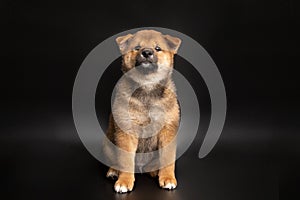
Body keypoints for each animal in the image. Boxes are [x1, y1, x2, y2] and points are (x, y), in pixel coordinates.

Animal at [105, 29, 180, 192]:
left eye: (158, 48)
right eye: (137, 47)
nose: (146, 52)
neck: (147, 88)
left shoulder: (168, 129)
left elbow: (168, 159)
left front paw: (167, 178)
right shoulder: (126, 130)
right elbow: (126, 161)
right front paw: (124, 181)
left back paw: (154, 171)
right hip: (108, 142)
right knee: (115, 161)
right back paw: (113, 171)